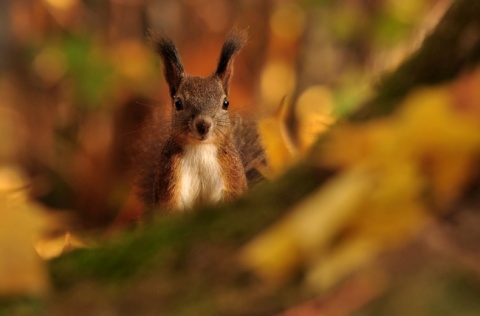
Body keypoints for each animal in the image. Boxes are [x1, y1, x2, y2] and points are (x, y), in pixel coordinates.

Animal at [135, 30, 264, 212]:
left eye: (226, 103)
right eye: (178, 103)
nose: (203, 125)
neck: (200, 150)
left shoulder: (230, 174)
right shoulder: (171, 177)